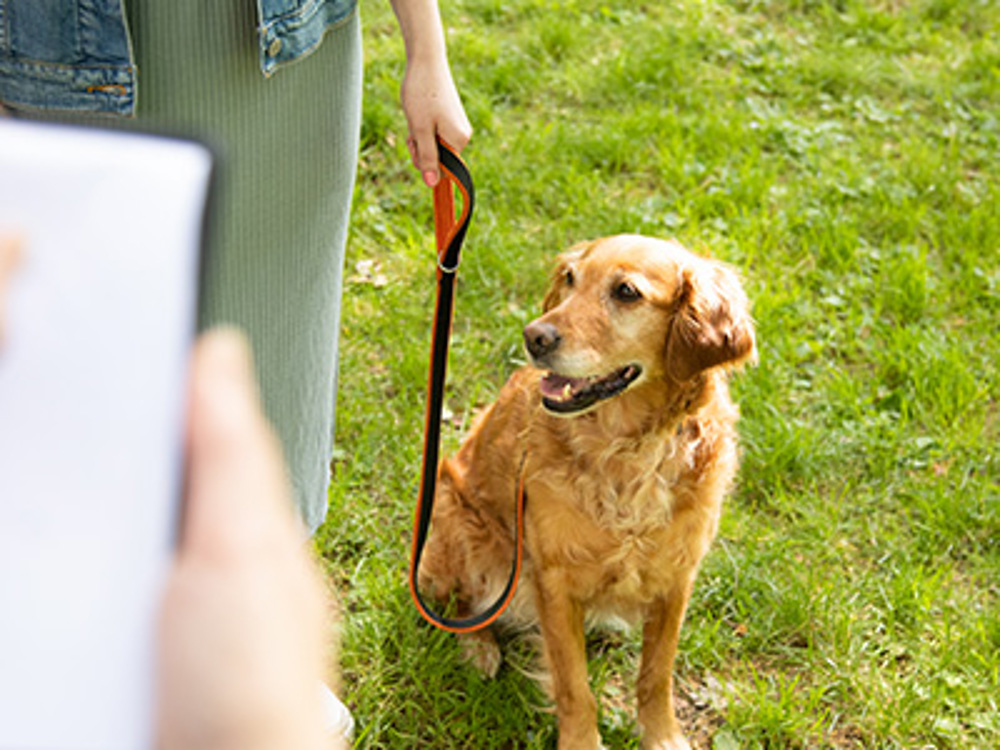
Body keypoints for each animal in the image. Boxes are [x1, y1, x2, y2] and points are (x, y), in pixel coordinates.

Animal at [418, 235, 752, 750]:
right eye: (571, 279)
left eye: (626, 292)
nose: (534, 337)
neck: (629, 448)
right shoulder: (554, 580)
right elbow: (574, 686)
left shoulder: (677, 575)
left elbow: (657, 673)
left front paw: (661, 736)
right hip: (465, 529)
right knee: (461, 605)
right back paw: (478, 649)